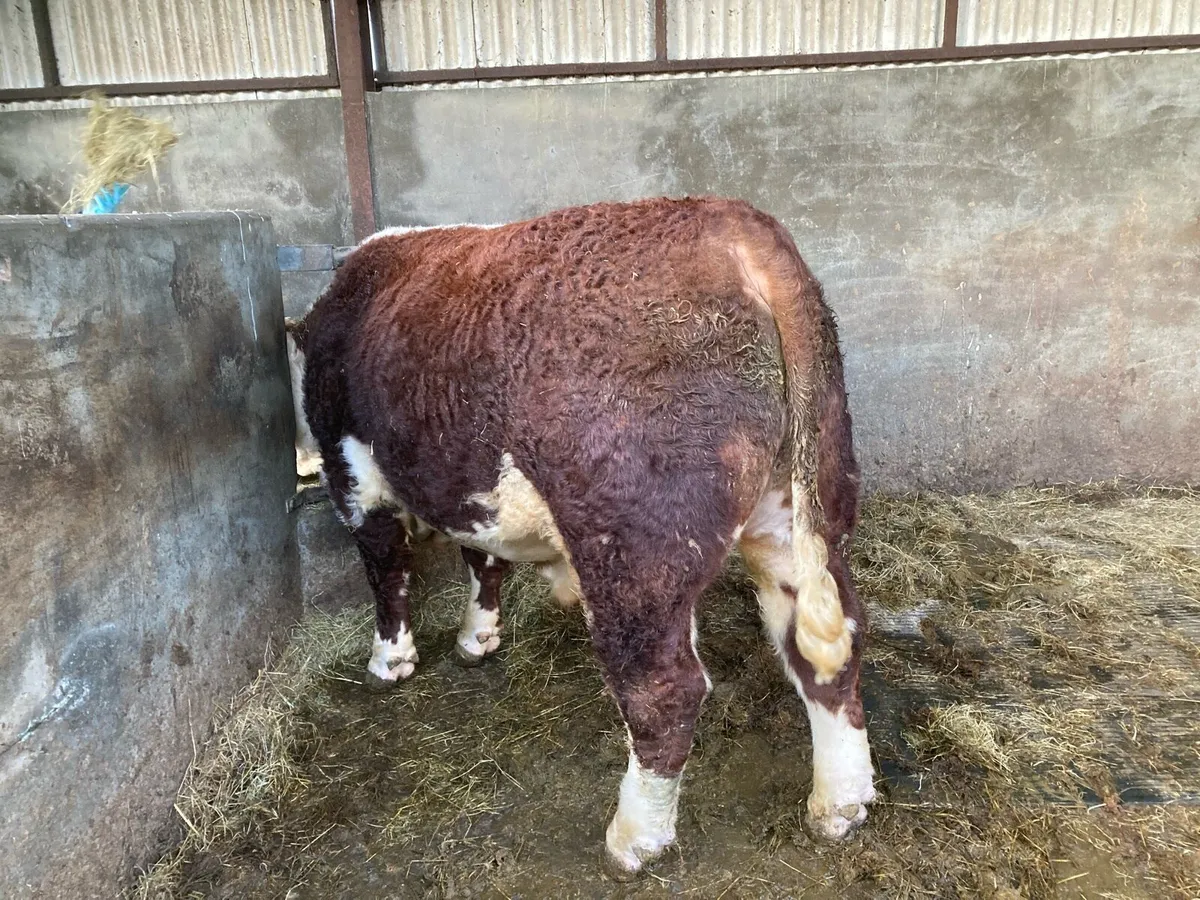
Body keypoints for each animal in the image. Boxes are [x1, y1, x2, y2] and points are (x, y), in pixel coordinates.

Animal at [285, 197, 875, 878]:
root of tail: (736, 225)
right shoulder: (469, 484)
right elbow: (484, 559)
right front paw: (476, 637)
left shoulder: (354, 477)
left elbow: (387, 572)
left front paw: (390, 661)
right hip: (804, 509)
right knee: (829, 646)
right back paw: (841, 804)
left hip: (633, 550)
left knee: (665, 690)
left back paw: (633, 839)